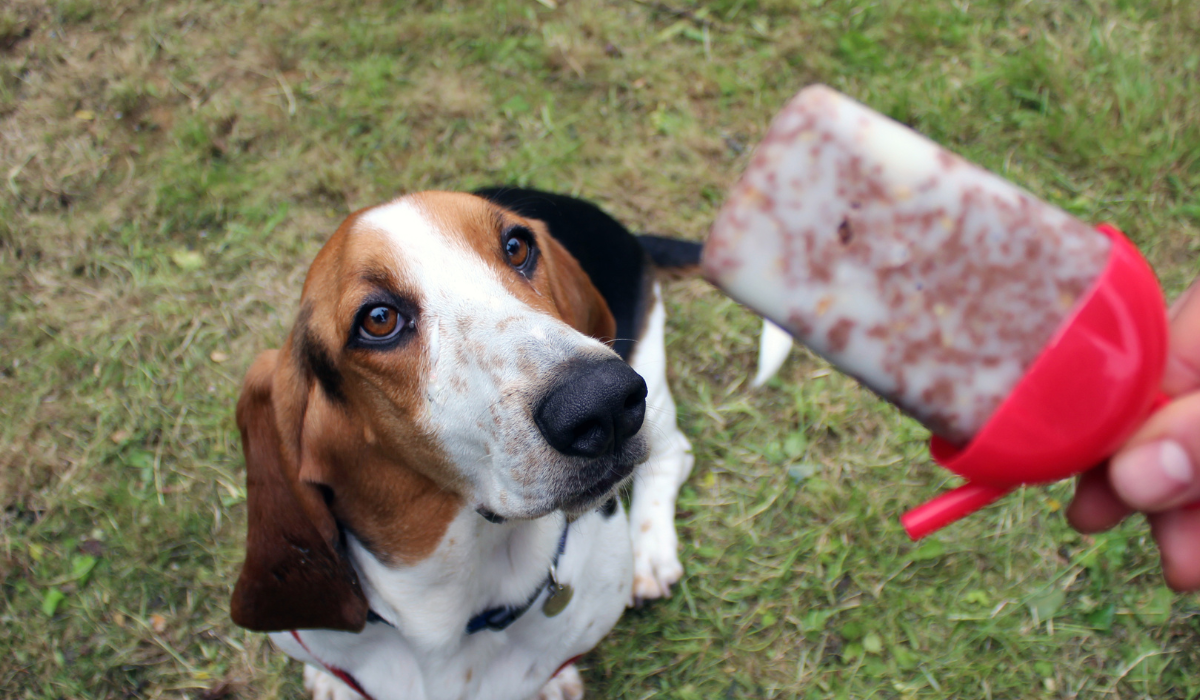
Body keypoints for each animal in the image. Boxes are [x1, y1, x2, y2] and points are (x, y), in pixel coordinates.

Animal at [226, 187, 700, 700]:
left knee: (673, 454)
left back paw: (651, 554)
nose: (603, 401)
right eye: (378, 319)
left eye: (517, 246)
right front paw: (333, 682)